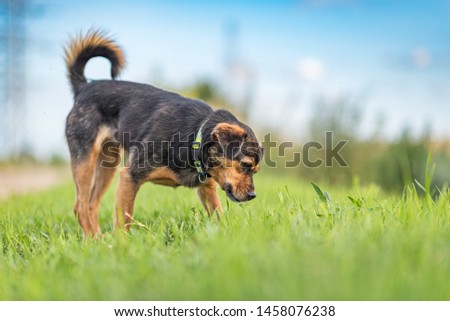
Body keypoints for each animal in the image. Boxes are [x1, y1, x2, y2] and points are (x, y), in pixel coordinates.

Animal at [65, 29, 266, 235]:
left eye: (255, 170)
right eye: (246, 165)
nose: (253, 195)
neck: (195, 134)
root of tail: (84, 87)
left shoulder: (207, 187)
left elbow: (218, 214)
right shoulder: (129, 177)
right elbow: (124, 221)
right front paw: (121, 243)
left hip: (108, 164)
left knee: (91, 203)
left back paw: (98, 238)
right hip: (85, 161)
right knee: (80, 207)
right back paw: (92, 238)